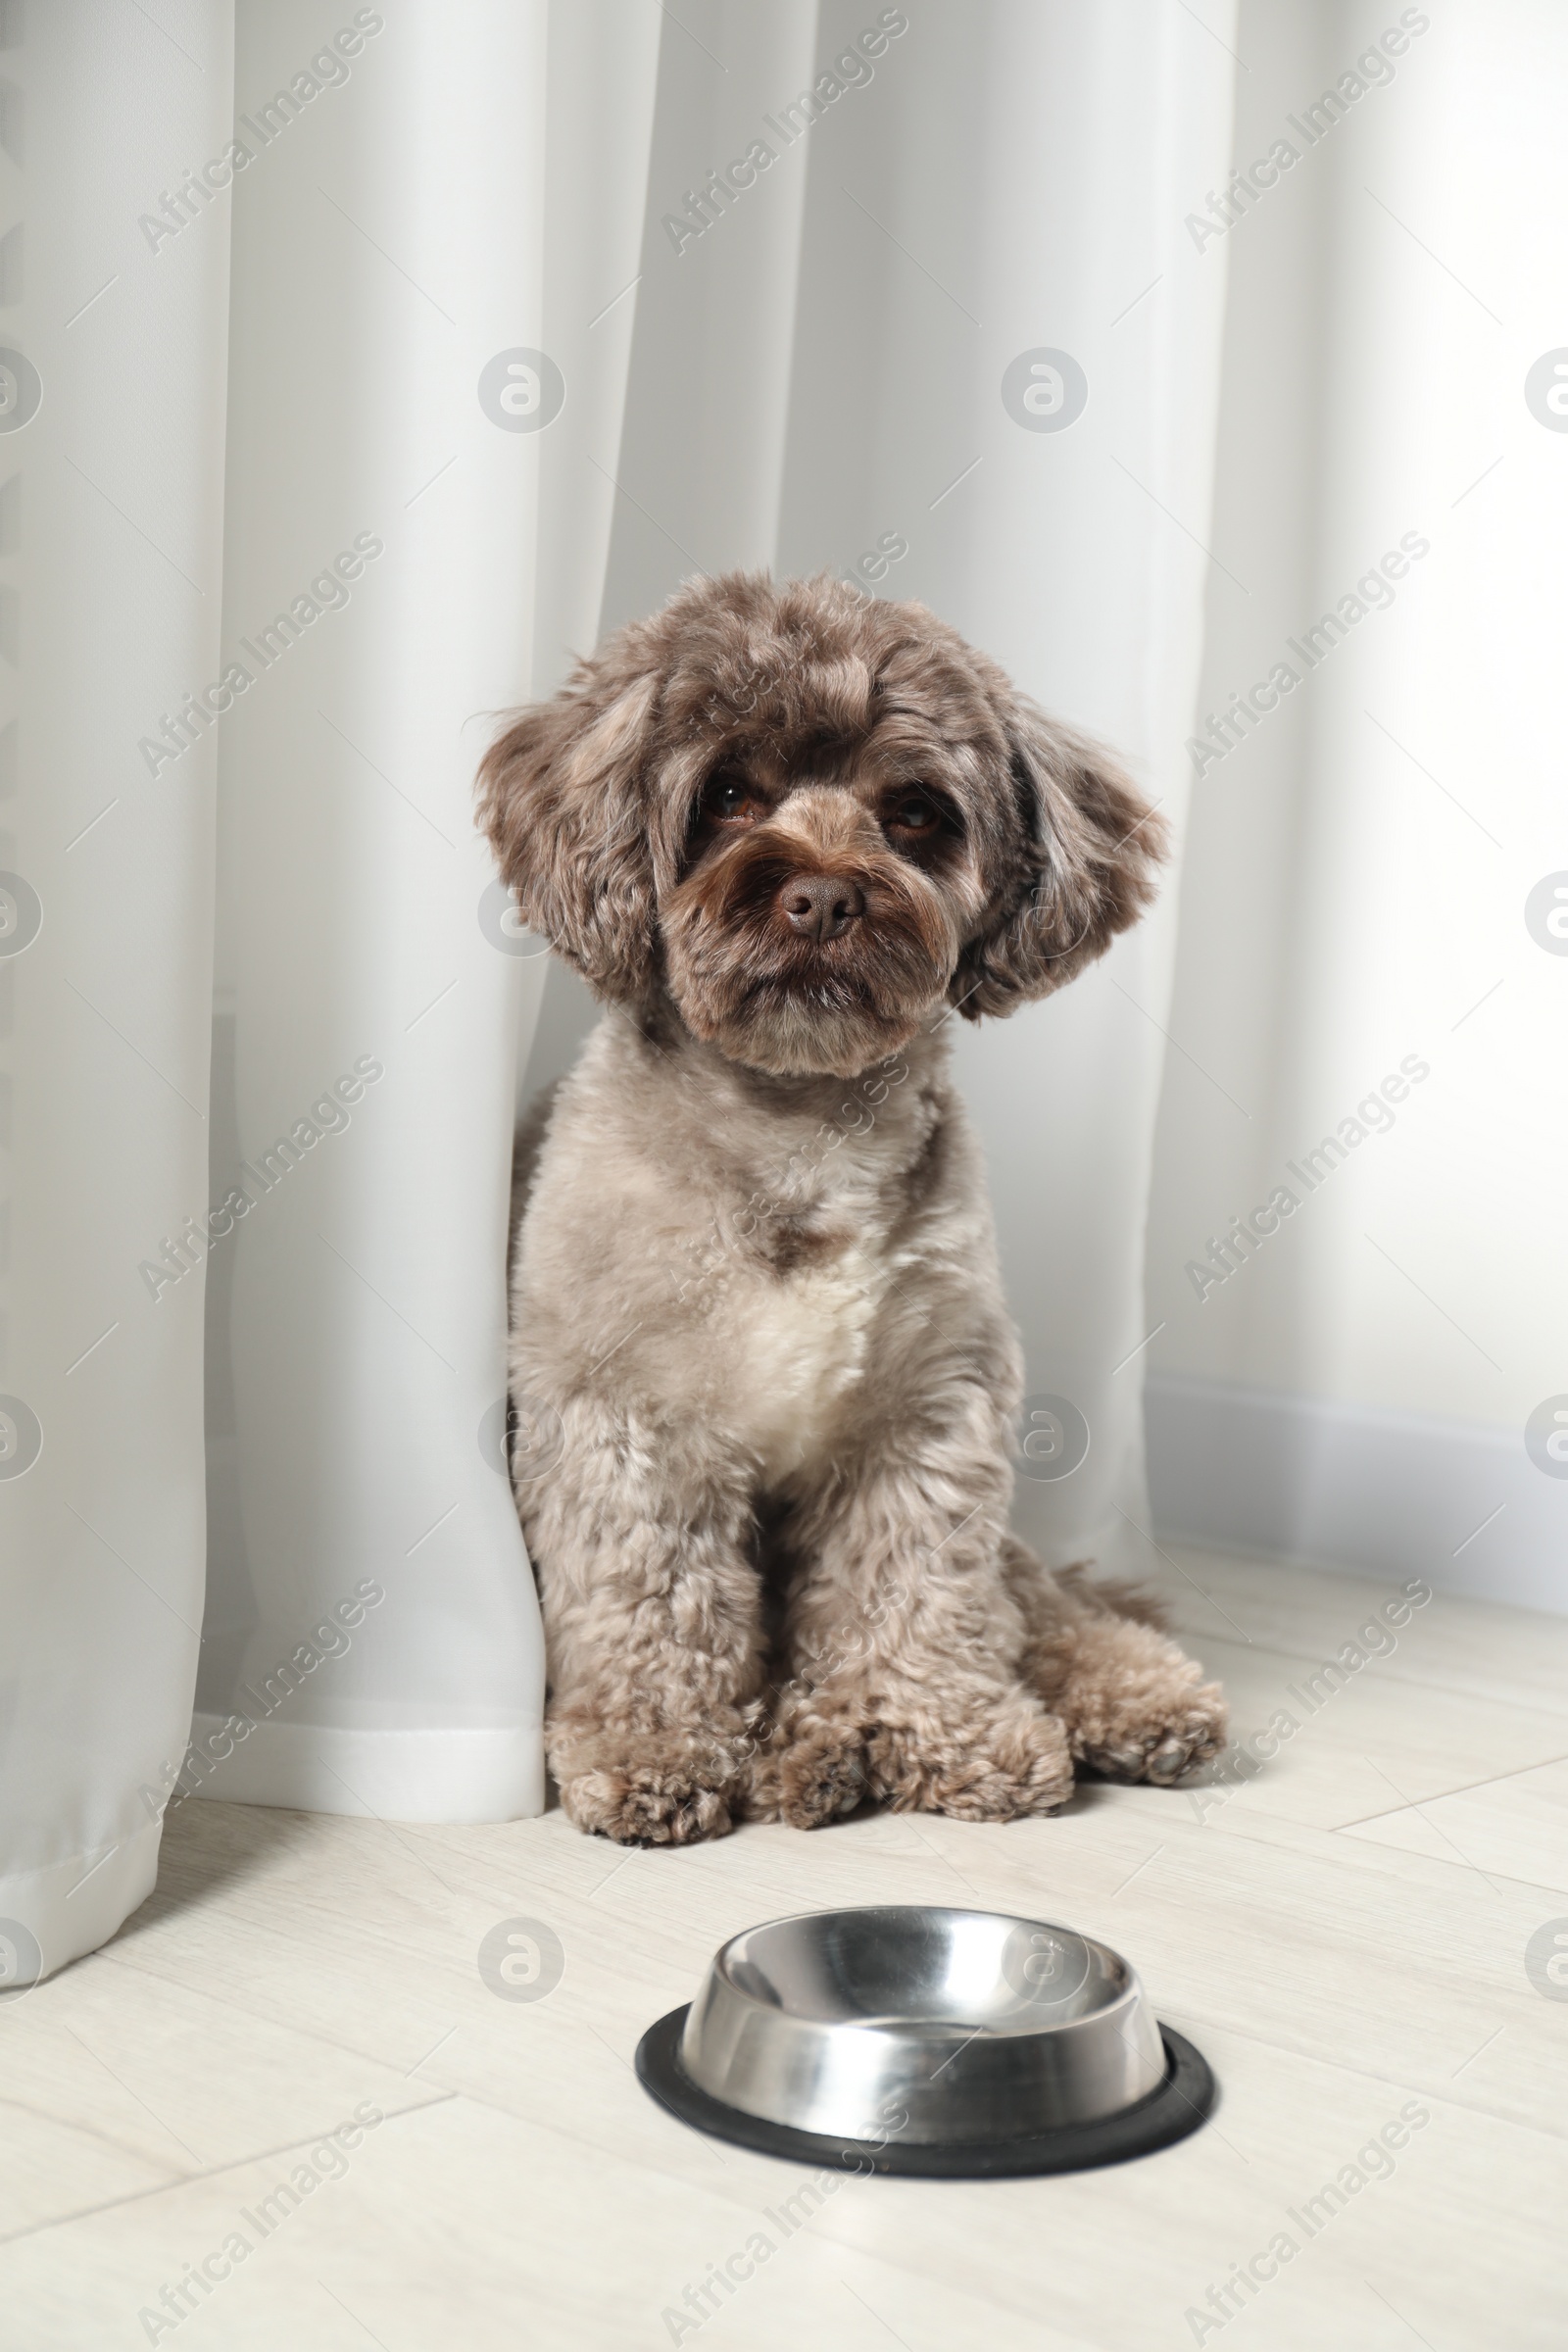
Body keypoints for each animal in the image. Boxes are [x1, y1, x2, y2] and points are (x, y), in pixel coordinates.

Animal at [479, 568, 1222, 1835]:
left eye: (915, 812)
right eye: (727, 795)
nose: (824, 897)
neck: (796, 1136)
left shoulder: (925, 1413)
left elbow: (919, 1589)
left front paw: (947, 1732)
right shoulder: (623, 1415)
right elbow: (650, 1595)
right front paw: (652, 1745)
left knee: (1035, 1602)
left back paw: (1127, 1697)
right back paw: (812, 1753)